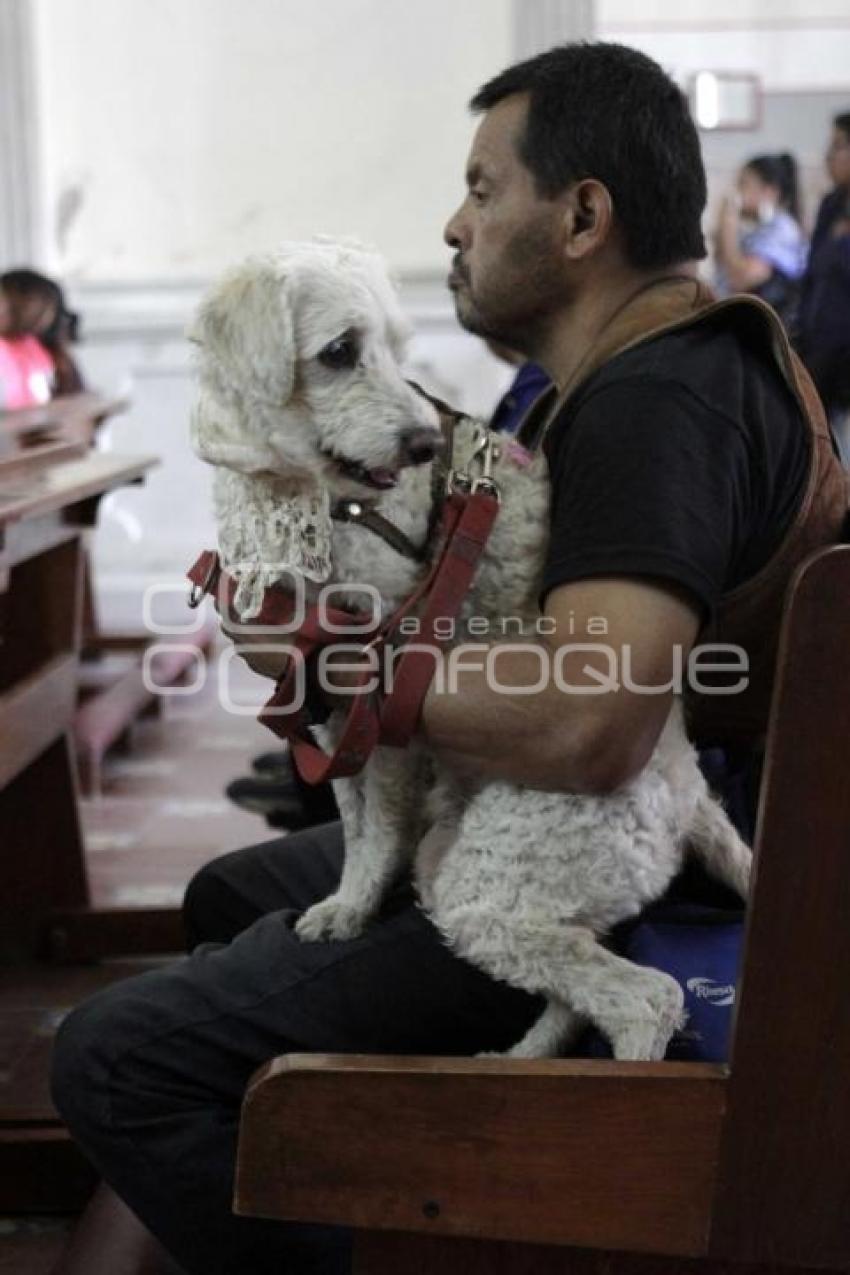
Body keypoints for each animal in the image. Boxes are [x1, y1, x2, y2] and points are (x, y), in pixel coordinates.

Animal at [187, 239, 749, 1065]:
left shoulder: (377, 688)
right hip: (484, 877)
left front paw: (352, 908)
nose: (424, 442)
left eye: (397, 350)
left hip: (496, 876)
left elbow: (377, 825)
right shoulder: (322, 703)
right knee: (580, 990)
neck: (293, 493)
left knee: (649, 999)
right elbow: (353, 819)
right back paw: (522, 1061)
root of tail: (691, 791)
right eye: (340, 352)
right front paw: (345, 899)